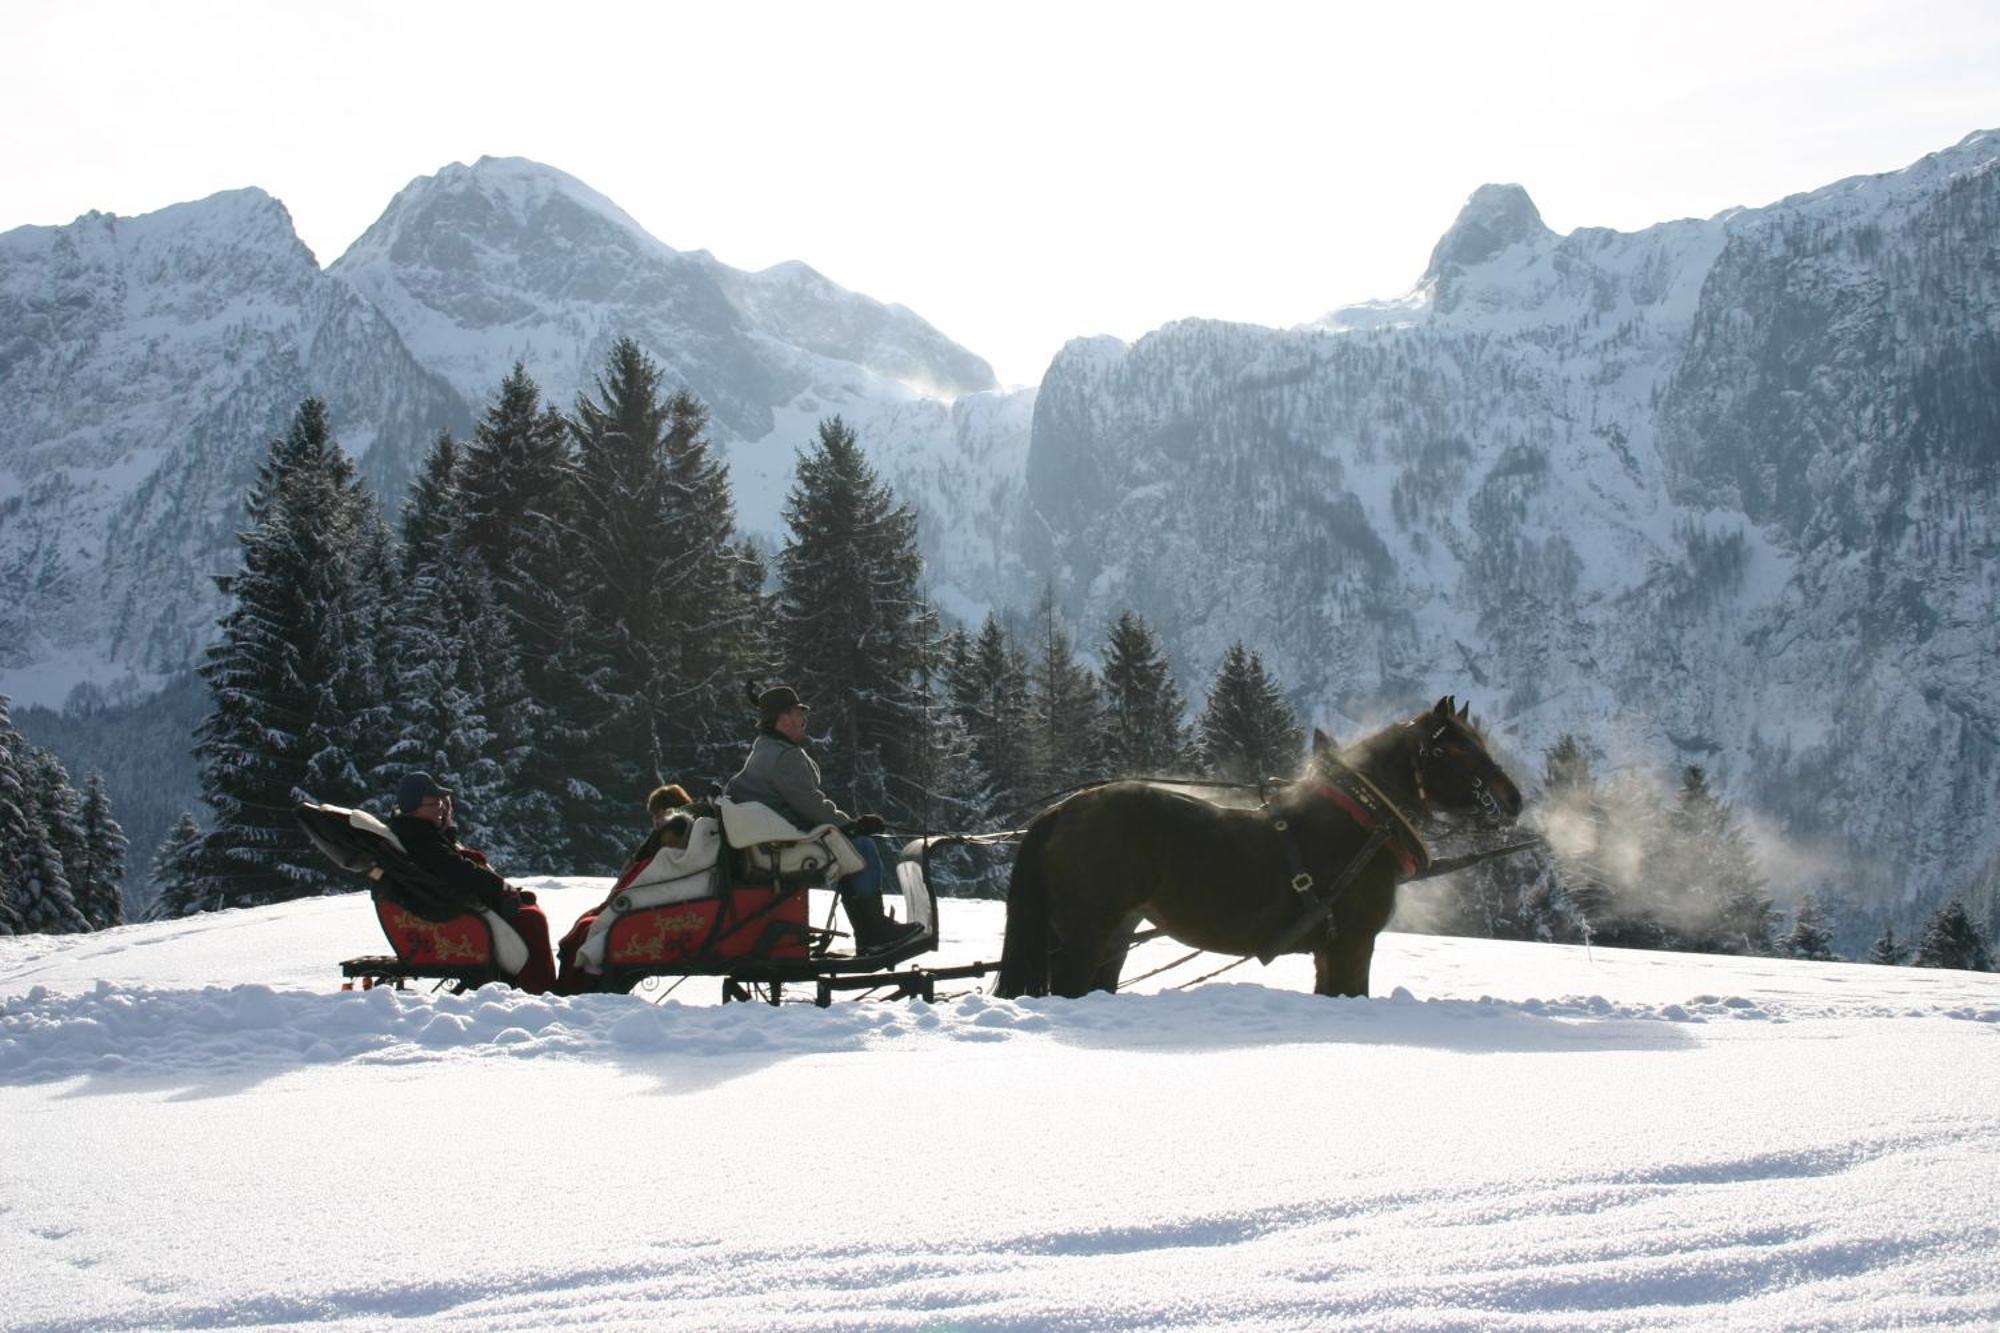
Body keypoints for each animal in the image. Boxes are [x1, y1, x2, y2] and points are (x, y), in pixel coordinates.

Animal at [992, 696, 1520, 996]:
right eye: (1458, 748)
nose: (1513, 799)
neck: (1360, 823)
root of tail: (1062, 811)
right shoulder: (1352, 943)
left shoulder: (1331, 950)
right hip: (1083, 936)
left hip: (1112, 936)